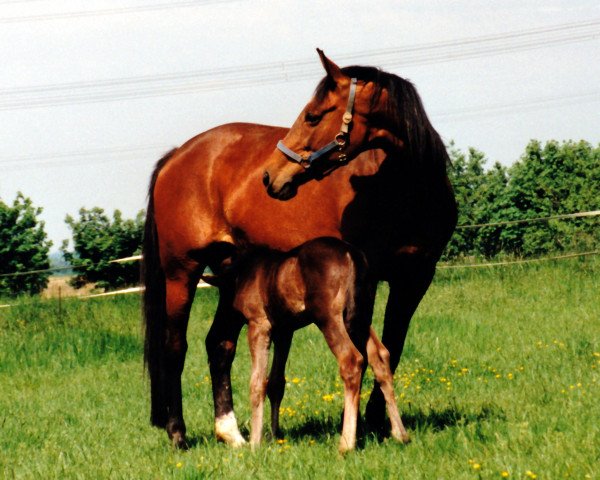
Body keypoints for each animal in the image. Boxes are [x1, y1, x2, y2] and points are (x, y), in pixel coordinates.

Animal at [218, 238, 410, 452]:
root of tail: (351, 254)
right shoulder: (284, 330)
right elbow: (276, 382)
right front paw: (274, 436)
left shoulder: (259, 326)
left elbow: (257, 383)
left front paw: (254, 443)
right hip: (360, 319)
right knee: (381, 356)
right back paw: (400, 434)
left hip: (330, 319)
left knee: (351, 360)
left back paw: (346, 444)